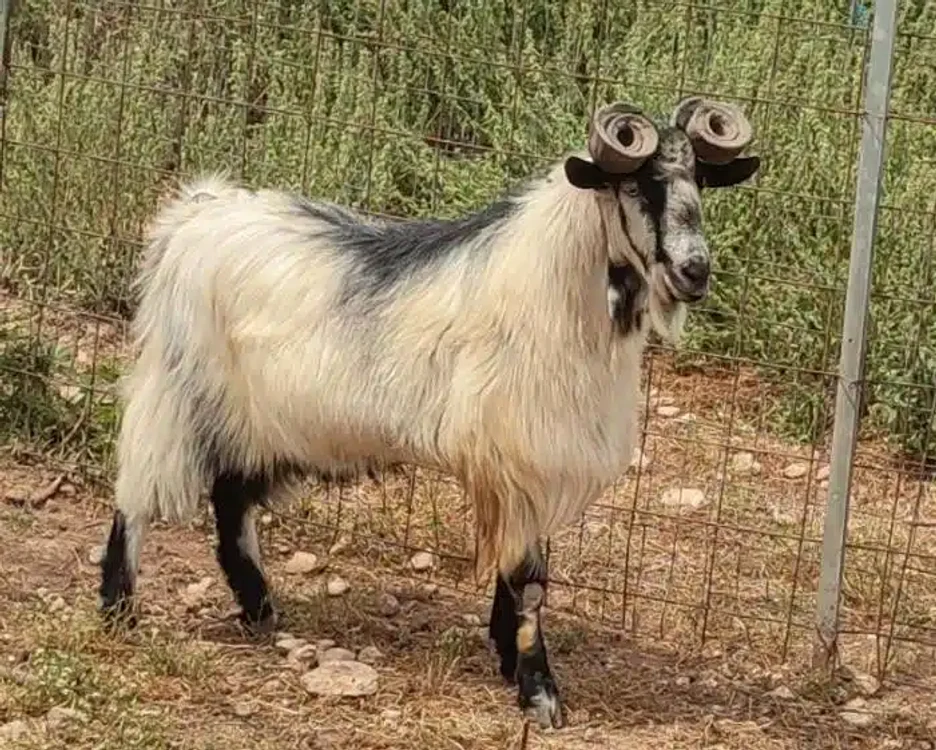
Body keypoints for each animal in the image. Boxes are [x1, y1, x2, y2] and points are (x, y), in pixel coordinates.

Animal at [99, 97, 759, 728]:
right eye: (636, 187)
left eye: (699, 179)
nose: (695, 271)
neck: (553, 289)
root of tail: (195, 213)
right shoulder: (518, 455)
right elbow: (529, 582)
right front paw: (539, 694)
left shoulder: (523, 465)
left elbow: (515, 572)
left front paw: (505, 658)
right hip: (175, 391)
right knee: (136, 494)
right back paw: (118, 610)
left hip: (262, 421)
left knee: (232, 500)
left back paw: (260, 608)